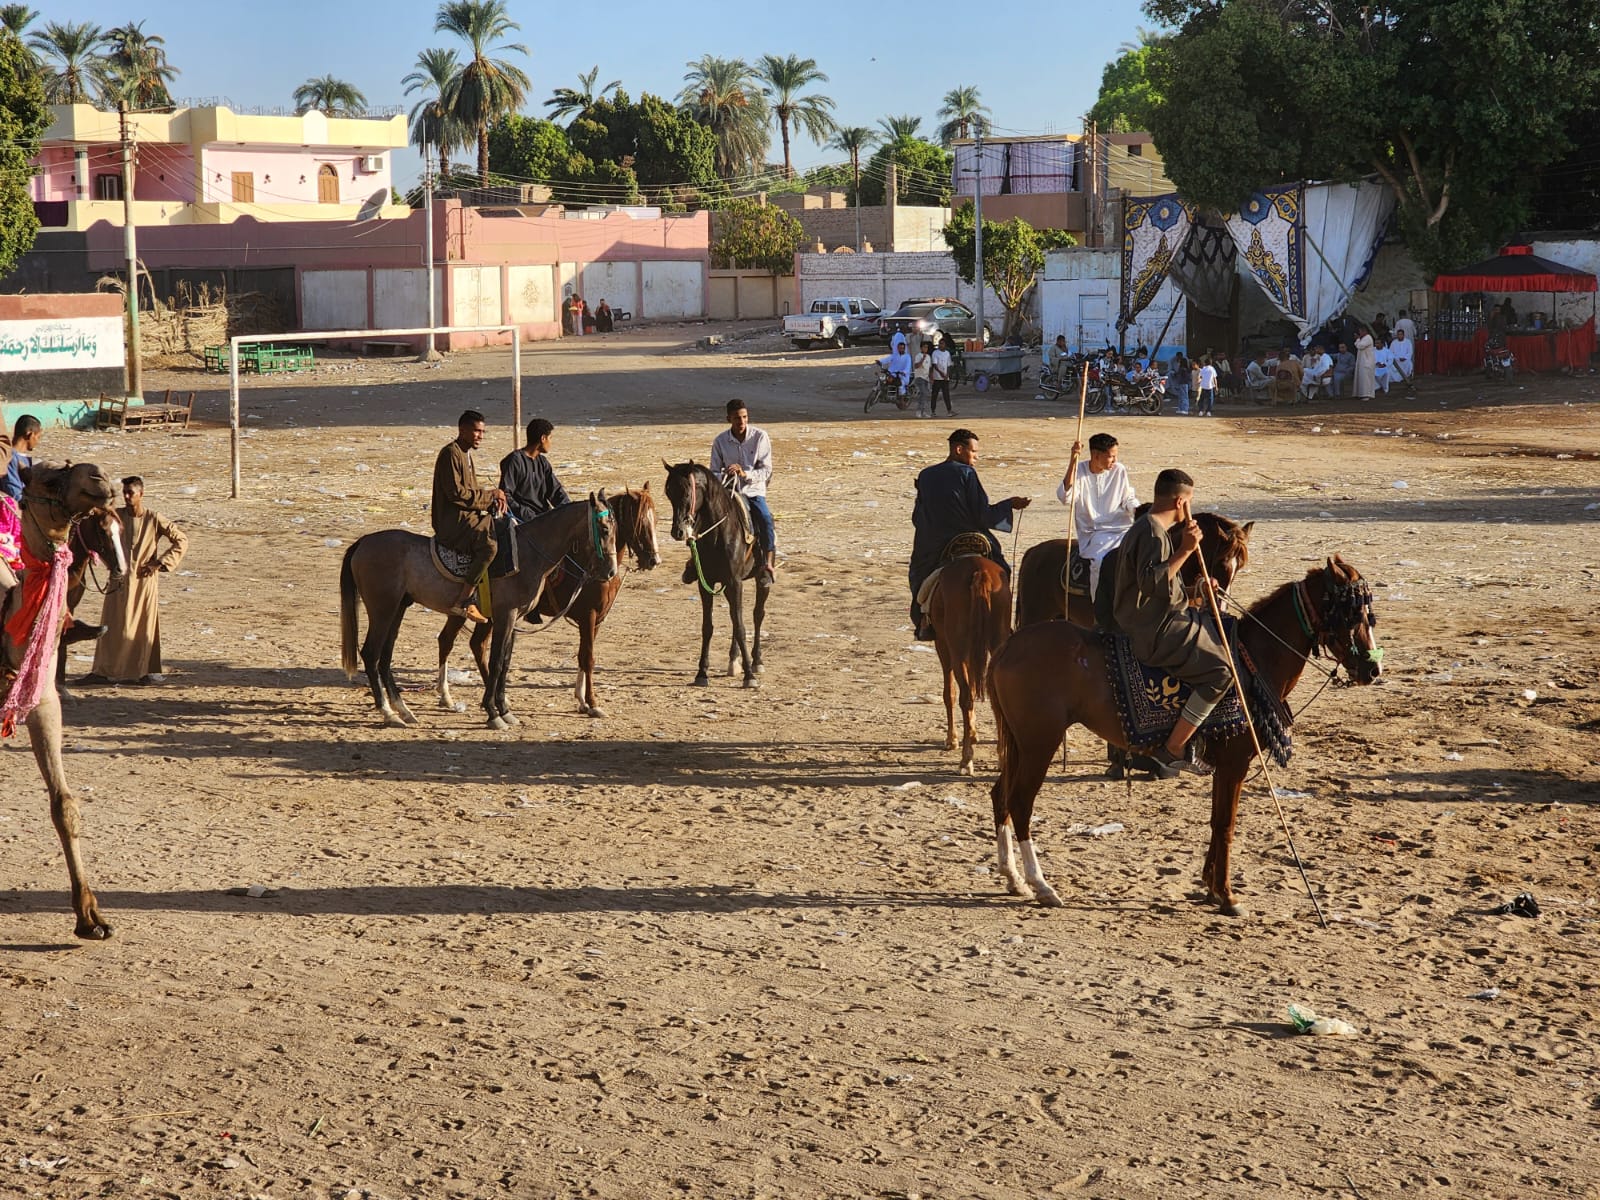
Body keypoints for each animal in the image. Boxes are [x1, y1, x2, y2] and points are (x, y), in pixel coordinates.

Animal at [435, 486, 659, 720]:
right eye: (640, 521)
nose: (654, 560)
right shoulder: (588, 616)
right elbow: (588, 658)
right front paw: (593, 703)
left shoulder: (597, 619)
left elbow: (583, 656)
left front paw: (582, 700)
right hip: (467, 612)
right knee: (448, 641)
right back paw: (449, 695)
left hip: (488, 616)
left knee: (477, 645)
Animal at [928, 556, 1011, 774]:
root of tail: (979, 570)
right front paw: (973, 733)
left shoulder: (943, 644)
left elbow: (949, 693)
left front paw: (952, 739)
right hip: (996, 644)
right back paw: (1002, 757)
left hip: (956, 648)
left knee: (964, 697)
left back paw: (966, 760)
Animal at [979, 560, 1382, 915]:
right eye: (1352, 615)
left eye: (1368, 615)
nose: (1372, 669)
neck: (1253, 660)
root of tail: (1008, 647)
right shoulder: (1235, 763)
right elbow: (1226, 824)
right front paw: (1227, 895)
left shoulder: (1225, 768)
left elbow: (1217, 821)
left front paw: (1211, 888)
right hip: (1039, 744)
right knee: (1020, 803)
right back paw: (1041, 885)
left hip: (1019, 744)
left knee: (1000, 796)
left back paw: (1013, 878)